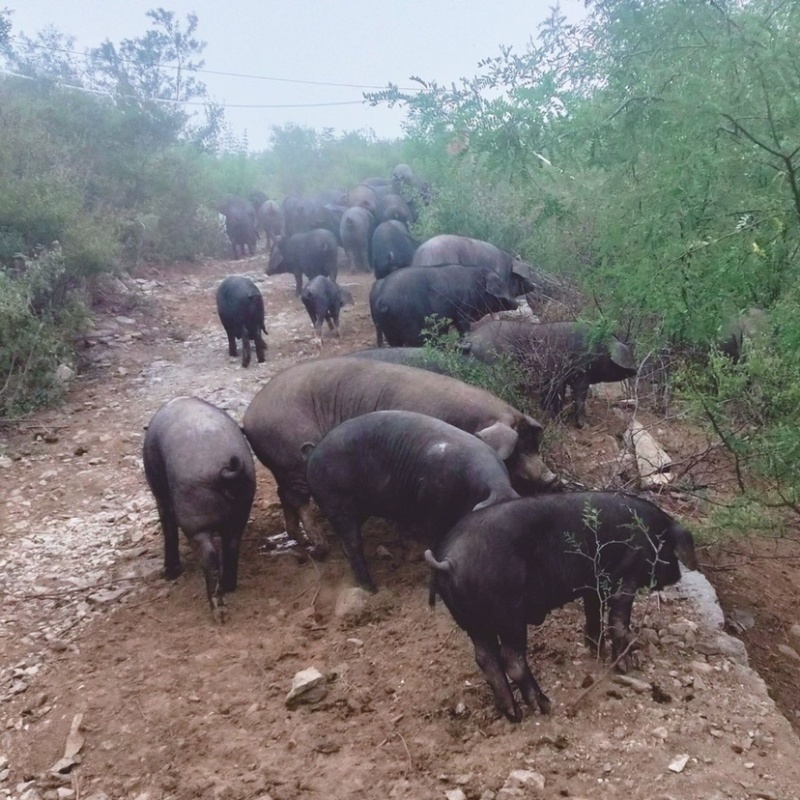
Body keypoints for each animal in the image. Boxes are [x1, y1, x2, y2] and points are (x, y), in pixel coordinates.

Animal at [142, 398, 256, 620]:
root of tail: (226, 468)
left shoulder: (161, 497)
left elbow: (168, 529)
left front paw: (170, 574)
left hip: (195, 522)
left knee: (209, 555)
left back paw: (218, 610)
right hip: (241, 510)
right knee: (232, 546)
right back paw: (228, 586)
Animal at [302, 410, 520, 592]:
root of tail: (313, 454)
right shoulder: (433, 507)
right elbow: (437, 540)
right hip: (334, 500)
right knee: (353, 541)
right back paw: (372, 589)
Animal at [428, 490, 696, 720]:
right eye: (671, 549)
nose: (676, 576)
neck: (653, 531)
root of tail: (448, 560)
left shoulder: (593, 585)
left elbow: (593, 614)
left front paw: (597, 652)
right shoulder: (627, 575)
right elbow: (619, 620)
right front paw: (627, 666)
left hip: (473, 622)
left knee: (486, 659)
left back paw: (514, 714)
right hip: (509, 613)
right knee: (512, 660)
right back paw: (544, 705)